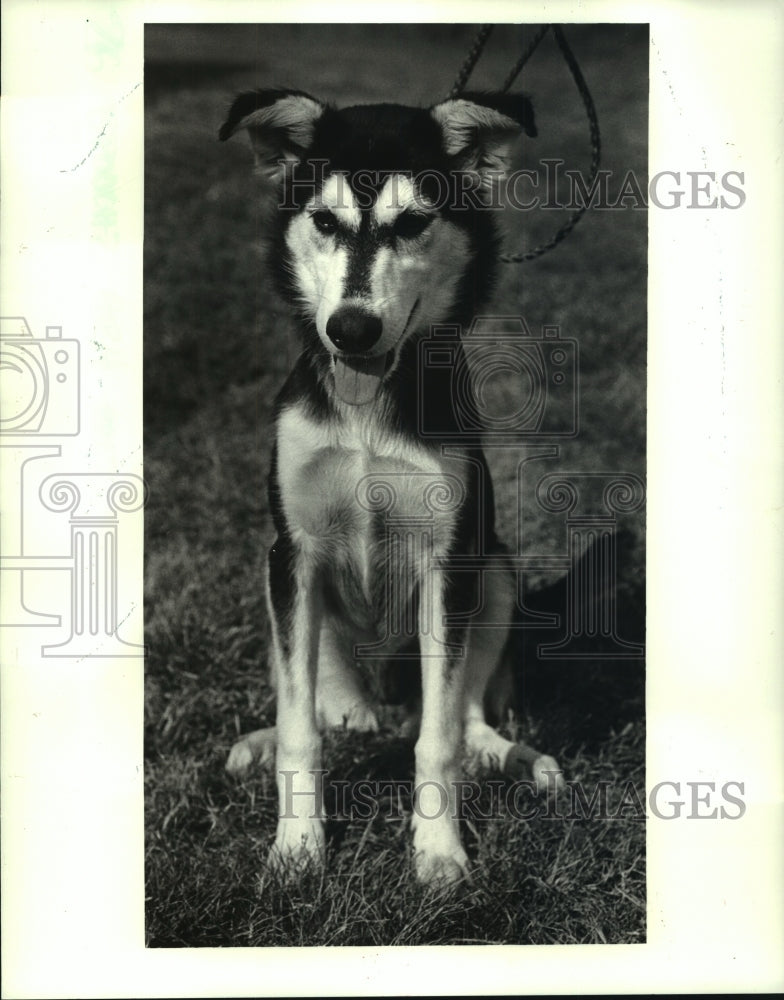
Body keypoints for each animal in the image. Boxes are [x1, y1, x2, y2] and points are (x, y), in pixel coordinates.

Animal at [222, 86, 556, 884]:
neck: (368, 413)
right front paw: (297, 848)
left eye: (412, 223)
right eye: (324, 221)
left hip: (495, 570)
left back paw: (505, 753)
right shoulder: (293, 553)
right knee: (320, 710)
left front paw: (438, 852)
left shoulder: (449, 560)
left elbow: (439, 739)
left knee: (462, 713)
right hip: (278, 584)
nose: (350, 329)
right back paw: (275, 738)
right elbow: (299, 733)